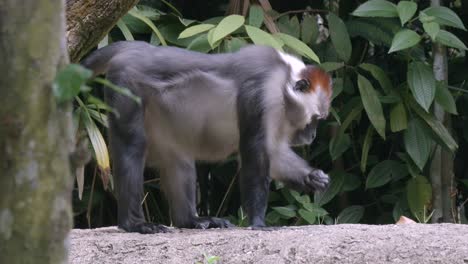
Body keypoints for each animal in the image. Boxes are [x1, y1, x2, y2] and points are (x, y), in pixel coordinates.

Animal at [83, 41, 332, 233]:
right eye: (315, 119)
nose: (312, 135)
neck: (283, 80)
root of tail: (134, 48)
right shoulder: (263, 92)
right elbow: (255, 152)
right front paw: (258, 222)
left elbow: (274, 153)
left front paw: (312, 177)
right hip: (127, 87)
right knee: (132, 145)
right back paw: (133, 223)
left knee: (178, 156)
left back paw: (189, 220)